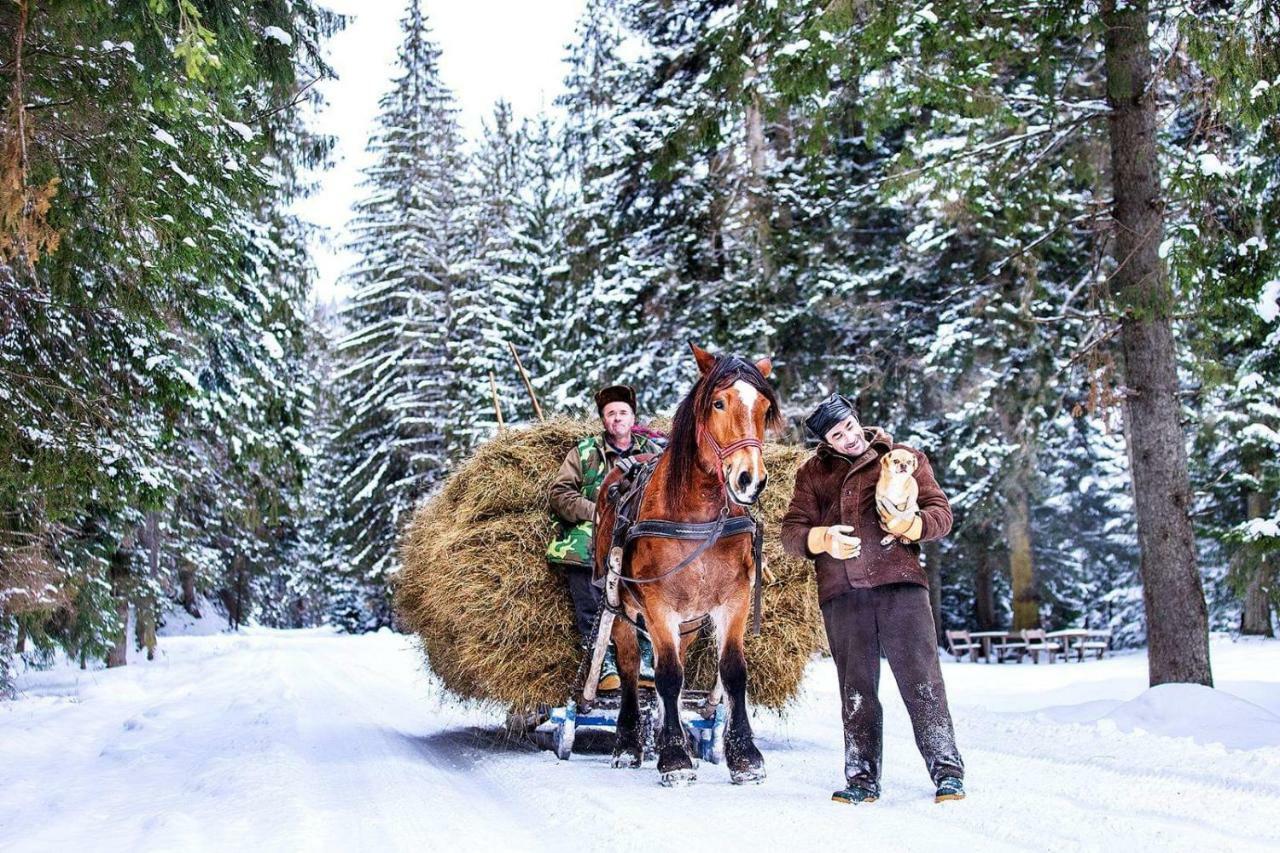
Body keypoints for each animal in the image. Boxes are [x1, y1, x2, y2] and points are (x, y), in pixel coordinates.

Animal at [588, 340, 778, 783]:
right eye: (719, 403)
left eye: (764, 407)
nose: (750, 479)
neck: (698, 516)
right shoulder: (657, 604)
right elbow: (668, 676)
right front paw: (674, 757)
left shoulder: (733, 600)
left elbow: (732, 672)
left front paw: (745, 757)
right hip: (619, 607)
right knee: (630, 668)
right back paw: (628, 743)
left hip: (688, 620)